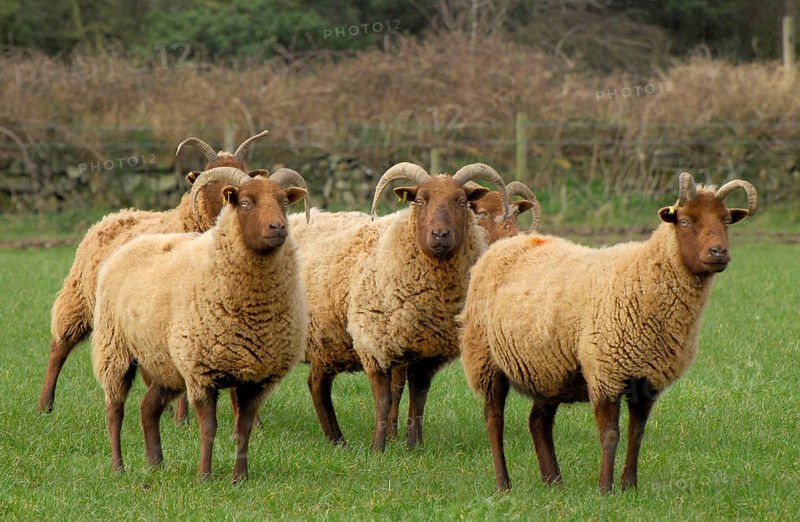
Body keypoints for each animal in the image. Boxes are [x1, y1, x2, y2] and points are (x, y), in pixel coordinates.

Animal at [37, 131, 271, 413]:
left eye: (246, 173)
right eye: (208, 176)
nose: (230, 199)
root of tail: (113, 215)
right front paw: (184, 419)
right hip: (79, 297)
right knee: (59, 347)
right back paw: (45, 405)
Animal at [92, 167, 308, 483]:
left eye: (284, 202)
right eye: (245, 202)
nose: (278, 227)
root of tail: (132, 244)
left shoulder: (256, 379)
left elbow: (243, 430)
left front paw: (239, 478)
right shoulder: (201, 373)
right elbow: (209, 428)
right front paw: (204, 476)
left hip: (165, 364)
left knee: (148, 408)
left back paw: (156, 464)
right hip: (114, 350)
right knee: (115, 411)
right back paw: (118, 467)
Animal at [290, 162, 509, 452]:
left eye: (462, 201)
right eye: (419, 200)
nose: (440, 235)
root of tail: (294, 218)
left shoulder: (427, 351)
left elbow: (419, 398)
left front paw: (415, 446)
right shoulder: (373, 344)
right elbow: (384, 399)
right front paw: (378, 449)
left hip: (326, 341)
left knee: (316, 385)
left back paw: (337, 441)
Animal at [459, 172, 757, 492]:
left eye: (726, 220)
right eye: (686, 221)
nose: (719, 252)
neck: (642, 276)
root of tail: (504, 245)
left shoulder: (647, 379)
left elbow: (636, 434)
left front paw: (630, 487)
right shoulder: (605, 373)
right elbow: (610, 435)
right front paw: (605, 489)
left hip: (548, 367)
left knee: (538, 421)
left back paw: (554, 482)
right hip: (485, 358)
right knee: (494, 420)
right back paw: (504, 484)